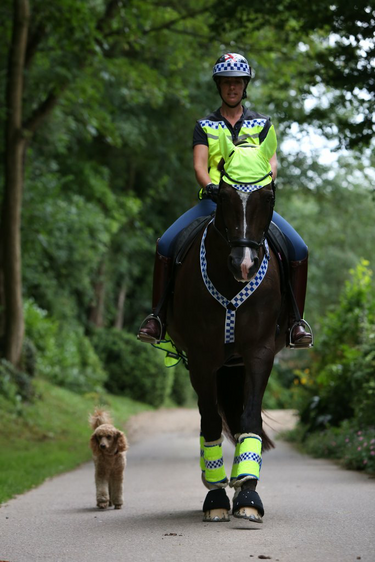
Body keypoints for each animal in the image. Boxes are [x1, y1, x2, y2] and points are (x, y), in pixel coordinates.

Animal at [167, 131, 288, 520]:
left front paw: (248, 495)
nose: (245, 264)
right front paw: (217, 496)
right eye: (223, 194)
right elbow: (208, 422)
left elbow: (249, 419)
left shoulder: (260, 353)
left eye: (268, 196)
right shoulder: (201, 359)